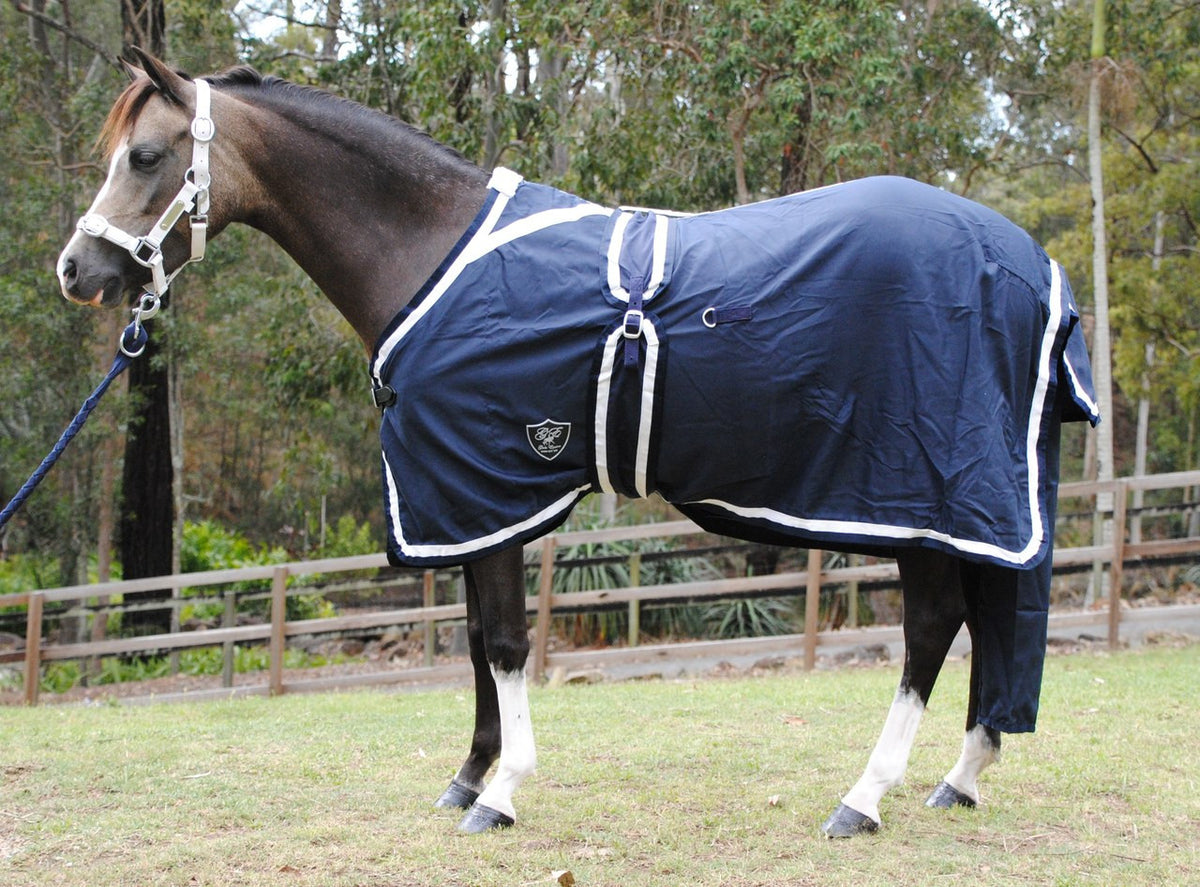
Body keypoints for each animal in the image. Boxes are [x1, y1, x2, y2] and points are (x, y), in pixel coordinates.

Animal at [56, 50, 1099, 837]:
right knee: (981, 623)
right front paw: (469, 777)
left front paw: (503, 793)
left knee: (931, 627)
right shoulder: (469, 496)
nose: (76, 269)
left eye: (145, 156)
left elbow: (507, 641)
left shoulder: (488, 483)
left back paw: (863, 797)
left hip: (925, 496)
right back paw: (959, 777)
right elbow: (477, 637)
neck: (430, 247)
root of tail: (1030, 265)